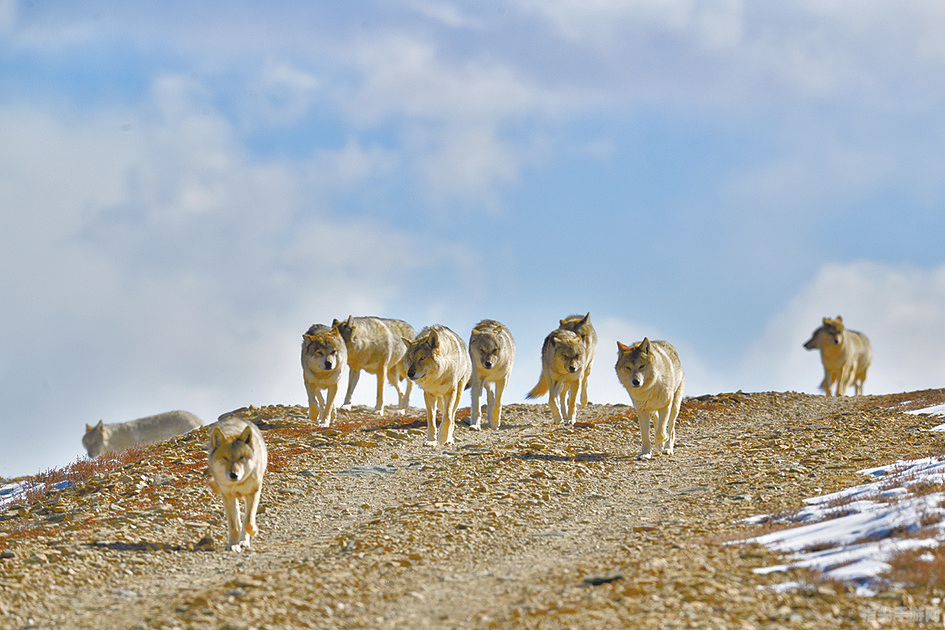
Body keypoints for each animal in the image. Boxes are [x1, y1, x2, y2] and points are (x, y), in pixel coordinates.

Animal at [206, 420, 266, 552]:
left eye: (240, 457)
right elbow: (234, 525)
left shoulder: (253, 493)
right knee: (237, 520)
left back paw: (244, 542)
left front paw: (254, 531)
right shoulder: (228, 496)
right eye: (225, 458)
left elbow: (248, 522)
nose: (233, 475)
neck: (238, 484)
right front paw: (232, 544)